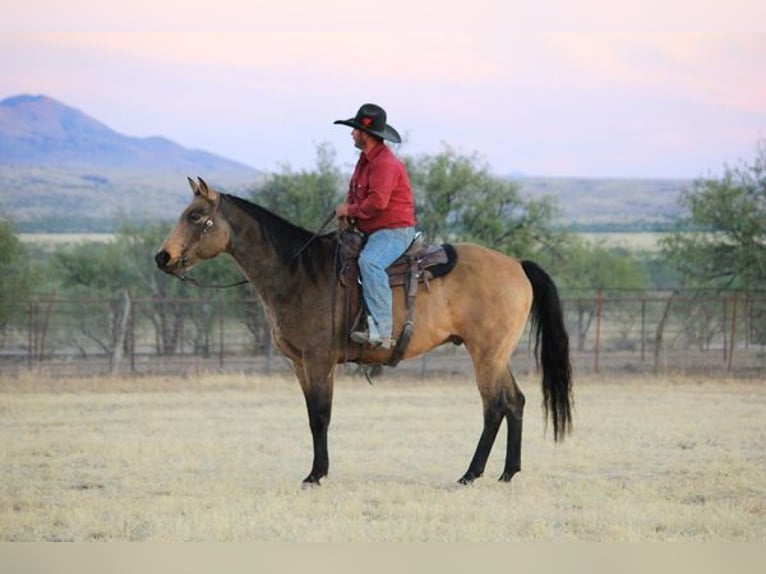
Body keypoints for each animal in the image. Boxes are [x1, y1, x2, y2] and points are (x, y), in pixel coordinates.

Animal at [156, 178, 572, 488]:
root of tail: (516, 265)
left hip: (485, 354)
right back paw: (507, 473)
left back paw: (470, 474)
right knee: (515, 402)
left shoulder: (319, 360)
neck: (298, 271)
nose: (162, 257)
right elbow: (312, 415)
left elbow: (321, 415)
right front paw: (318, 470)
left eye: (195, 216)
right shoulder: (299, 363)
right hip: (498, 355)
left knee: (494, 407)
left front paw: (316, 475)